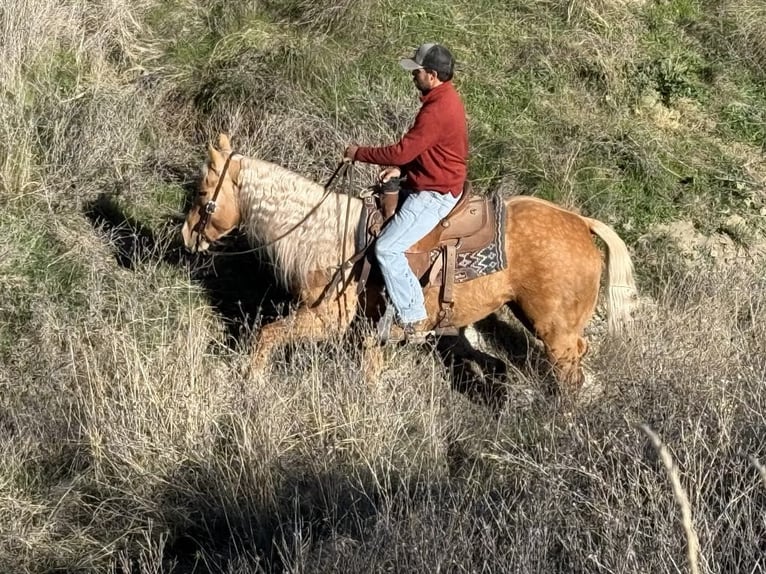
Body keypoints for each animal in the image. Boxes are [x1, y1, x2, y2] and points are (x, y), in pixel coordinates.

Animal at [183, 135, 640, 394]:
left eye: (203, 191)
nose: (187, 235)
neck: (326, 235)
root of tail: (581, 222)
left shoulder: (326, 317)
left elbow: (268, 335)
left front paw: (253, 381)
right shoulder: (367, 331)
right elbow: (369, 370)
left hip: (554, 328)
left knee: (569, 369)